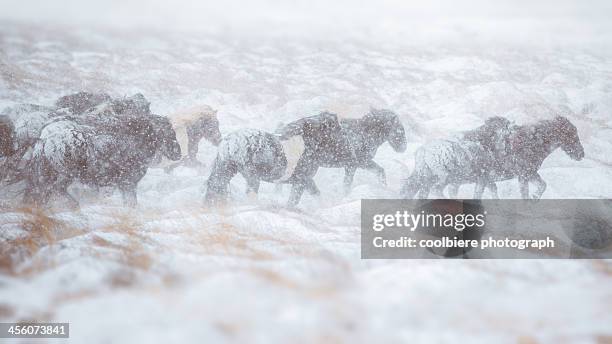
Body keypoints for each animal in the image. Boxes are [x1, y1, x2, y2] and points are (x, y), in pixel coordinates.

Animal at [402, 115, 584, 199]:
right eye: (571, 134)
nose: (581, 154)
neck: (532, 142)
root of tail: (423, 152)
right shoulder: (525, 174)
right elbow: (533, 190)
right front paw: (533, 199)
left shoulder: (488, 180)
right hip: (444, 178)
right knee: (435, 190)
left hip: (432, 178)